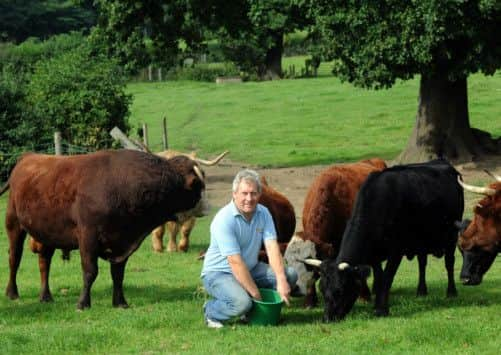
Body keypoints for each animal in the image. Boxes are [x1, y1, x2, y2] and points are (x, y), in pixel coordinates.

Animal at [0, 149, 207, 310]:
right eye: (197, 185)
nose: (205, 207)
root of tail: (28, 157)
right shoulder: (87, 237)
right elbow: (90, 271)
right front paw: (83, 303)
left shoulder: (122, 243)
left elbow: (118, 274)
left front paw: (120, 302)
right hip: (14, 224)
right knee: (14, 258)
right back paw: (12, 293)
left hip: (47, 233)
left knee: (44, 262)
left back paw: (45, 296)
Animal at [302, 160, 462, 322]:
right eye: (322, 289)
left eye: (339, 290)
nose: (327, 318)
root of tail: (442, 162)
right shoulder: (374, 255)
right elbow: (379, 278)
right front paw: (377, 305)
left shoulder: (396, 251)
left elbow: (387, 277)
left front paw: (381, 309)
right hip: (420, 242)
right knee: (422, 263)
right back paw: (421, 291)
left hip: (452, 236)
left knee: (449, 263)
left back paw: (451, 292)